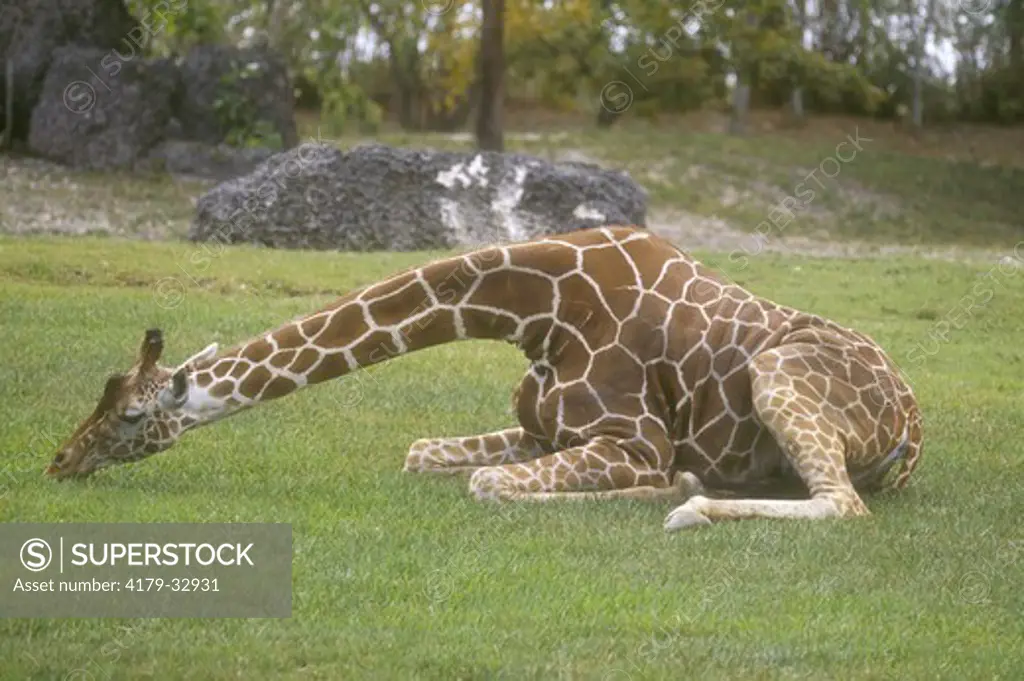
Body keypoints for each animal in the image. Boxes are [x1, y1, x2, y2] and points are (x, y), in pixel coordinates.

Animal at [48, 225, 925, 528]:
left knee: (842, 504)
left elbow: (490, 484)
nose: (58, 459)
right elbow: (423, 453)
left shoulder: (630, 440)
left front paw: (675, 484)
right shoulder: (540, 428)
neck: (539, 309)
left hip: (779, 371)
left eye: (130, 414)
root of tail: (912, 428)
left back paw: (692, 506)